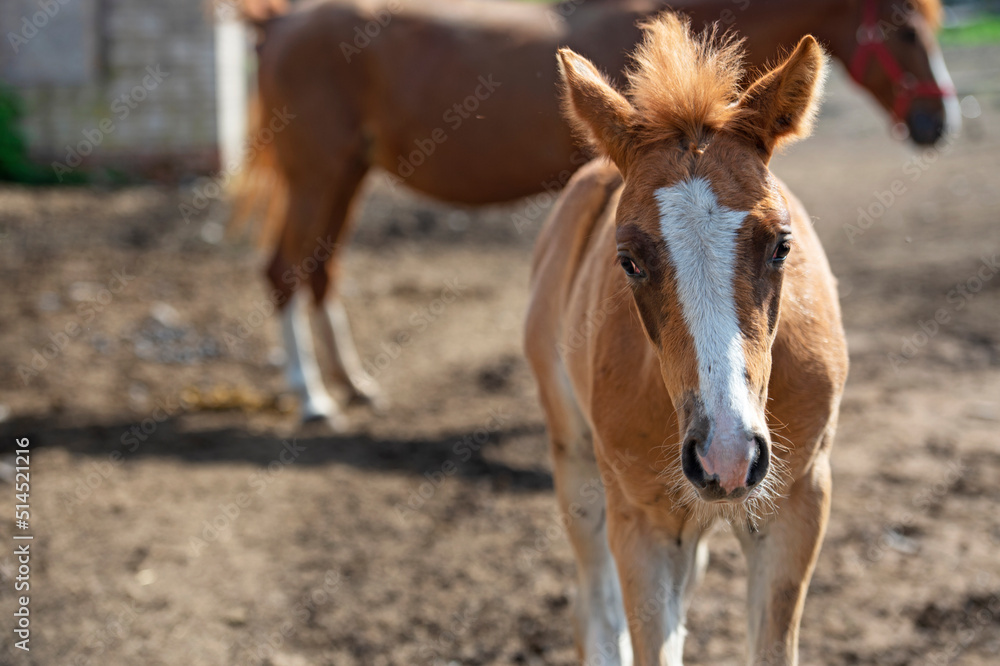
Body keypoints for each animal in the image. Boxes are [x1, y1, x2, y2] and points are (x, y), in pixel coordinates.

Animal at [229, 0, 949, 425]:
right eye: (906, 30)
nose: (939, 122)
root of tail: (277, 22)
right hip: (317, 174)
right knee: (282, 271)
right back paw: (313, 397)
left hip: (344, 176)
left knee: (321, 272)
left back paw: (351, 383)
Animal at [523, 13, 847, 665]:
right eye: (627, 261)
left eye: (783, 245)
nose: (727, 456)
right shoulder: (641, 527)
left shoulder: (798, 506)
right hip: (577, 466)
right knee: (595, 611)